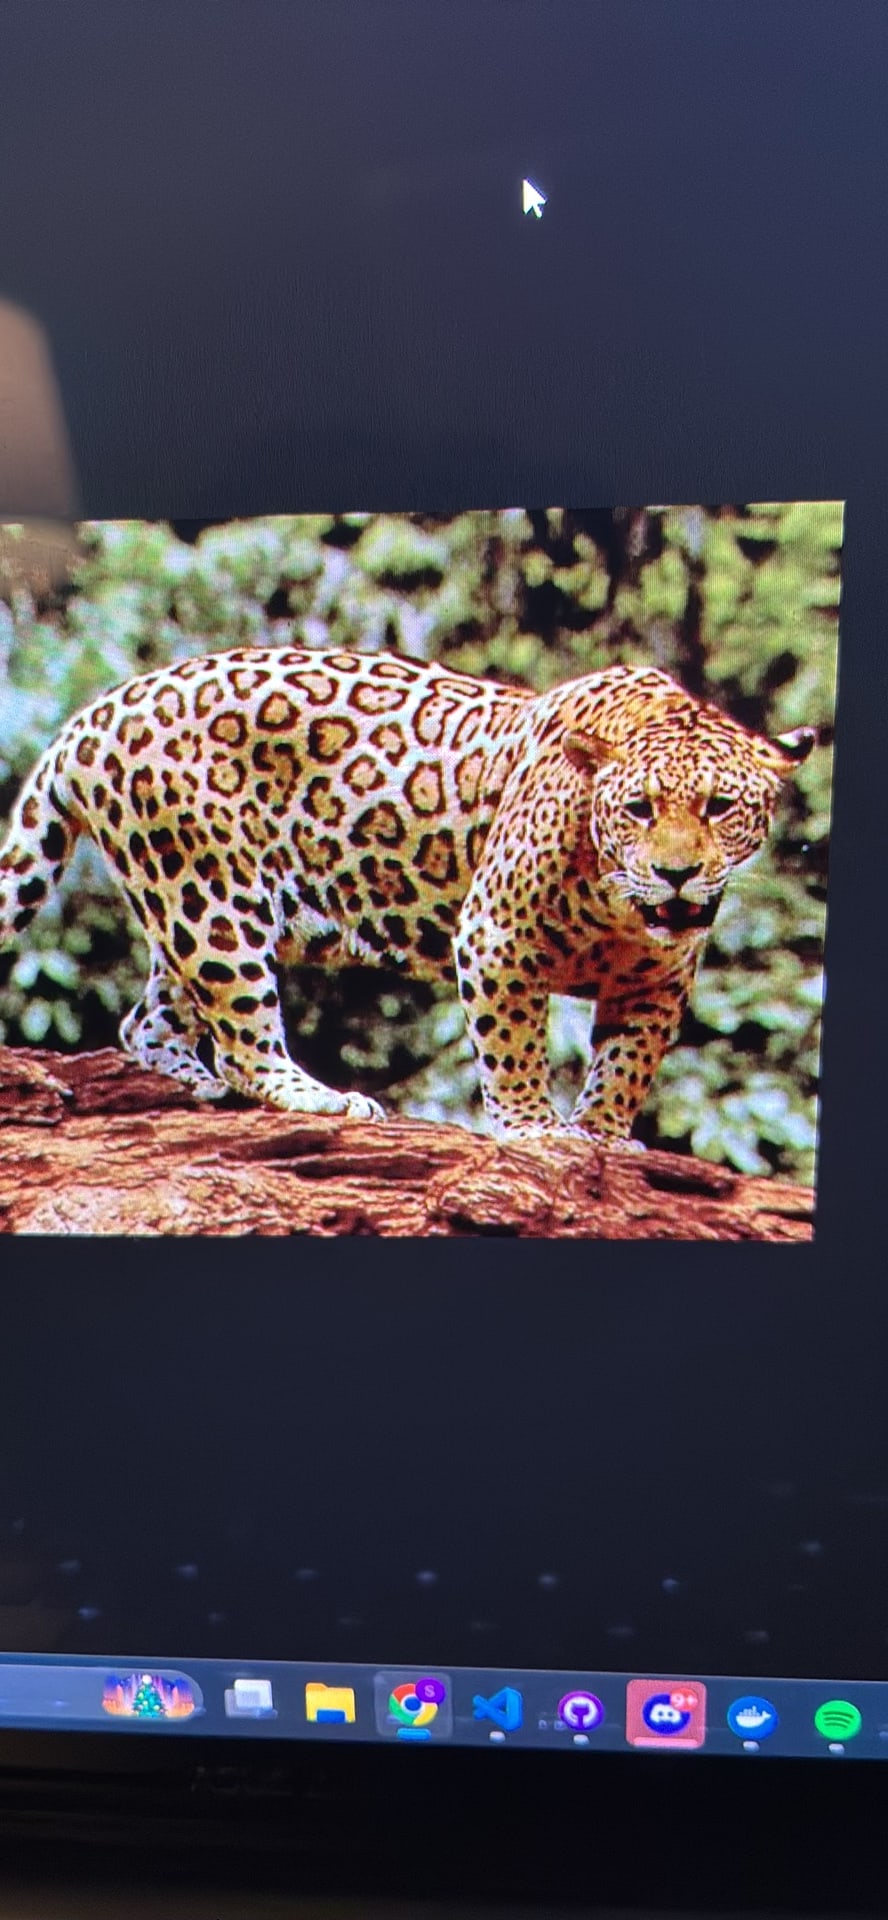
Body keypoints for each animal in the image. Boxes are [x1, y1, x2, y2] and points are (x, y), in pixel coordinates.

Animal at [0, 645, 814, 1144]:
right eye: (639, 809)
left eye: (718, 807)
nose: (676, 873)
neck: (618, 906)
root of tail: (98, 711)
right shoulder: (495, 935)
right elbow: (514, 1045)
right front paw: (534, 1129)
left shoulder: (657, 980)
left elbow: (626, 1062)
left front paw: (603, 1138)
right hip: (212, 898)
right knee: (241, 1036)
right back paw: (319, 1096)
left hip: (194, 902)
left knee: (149, 1022)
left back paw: (196, 1087)